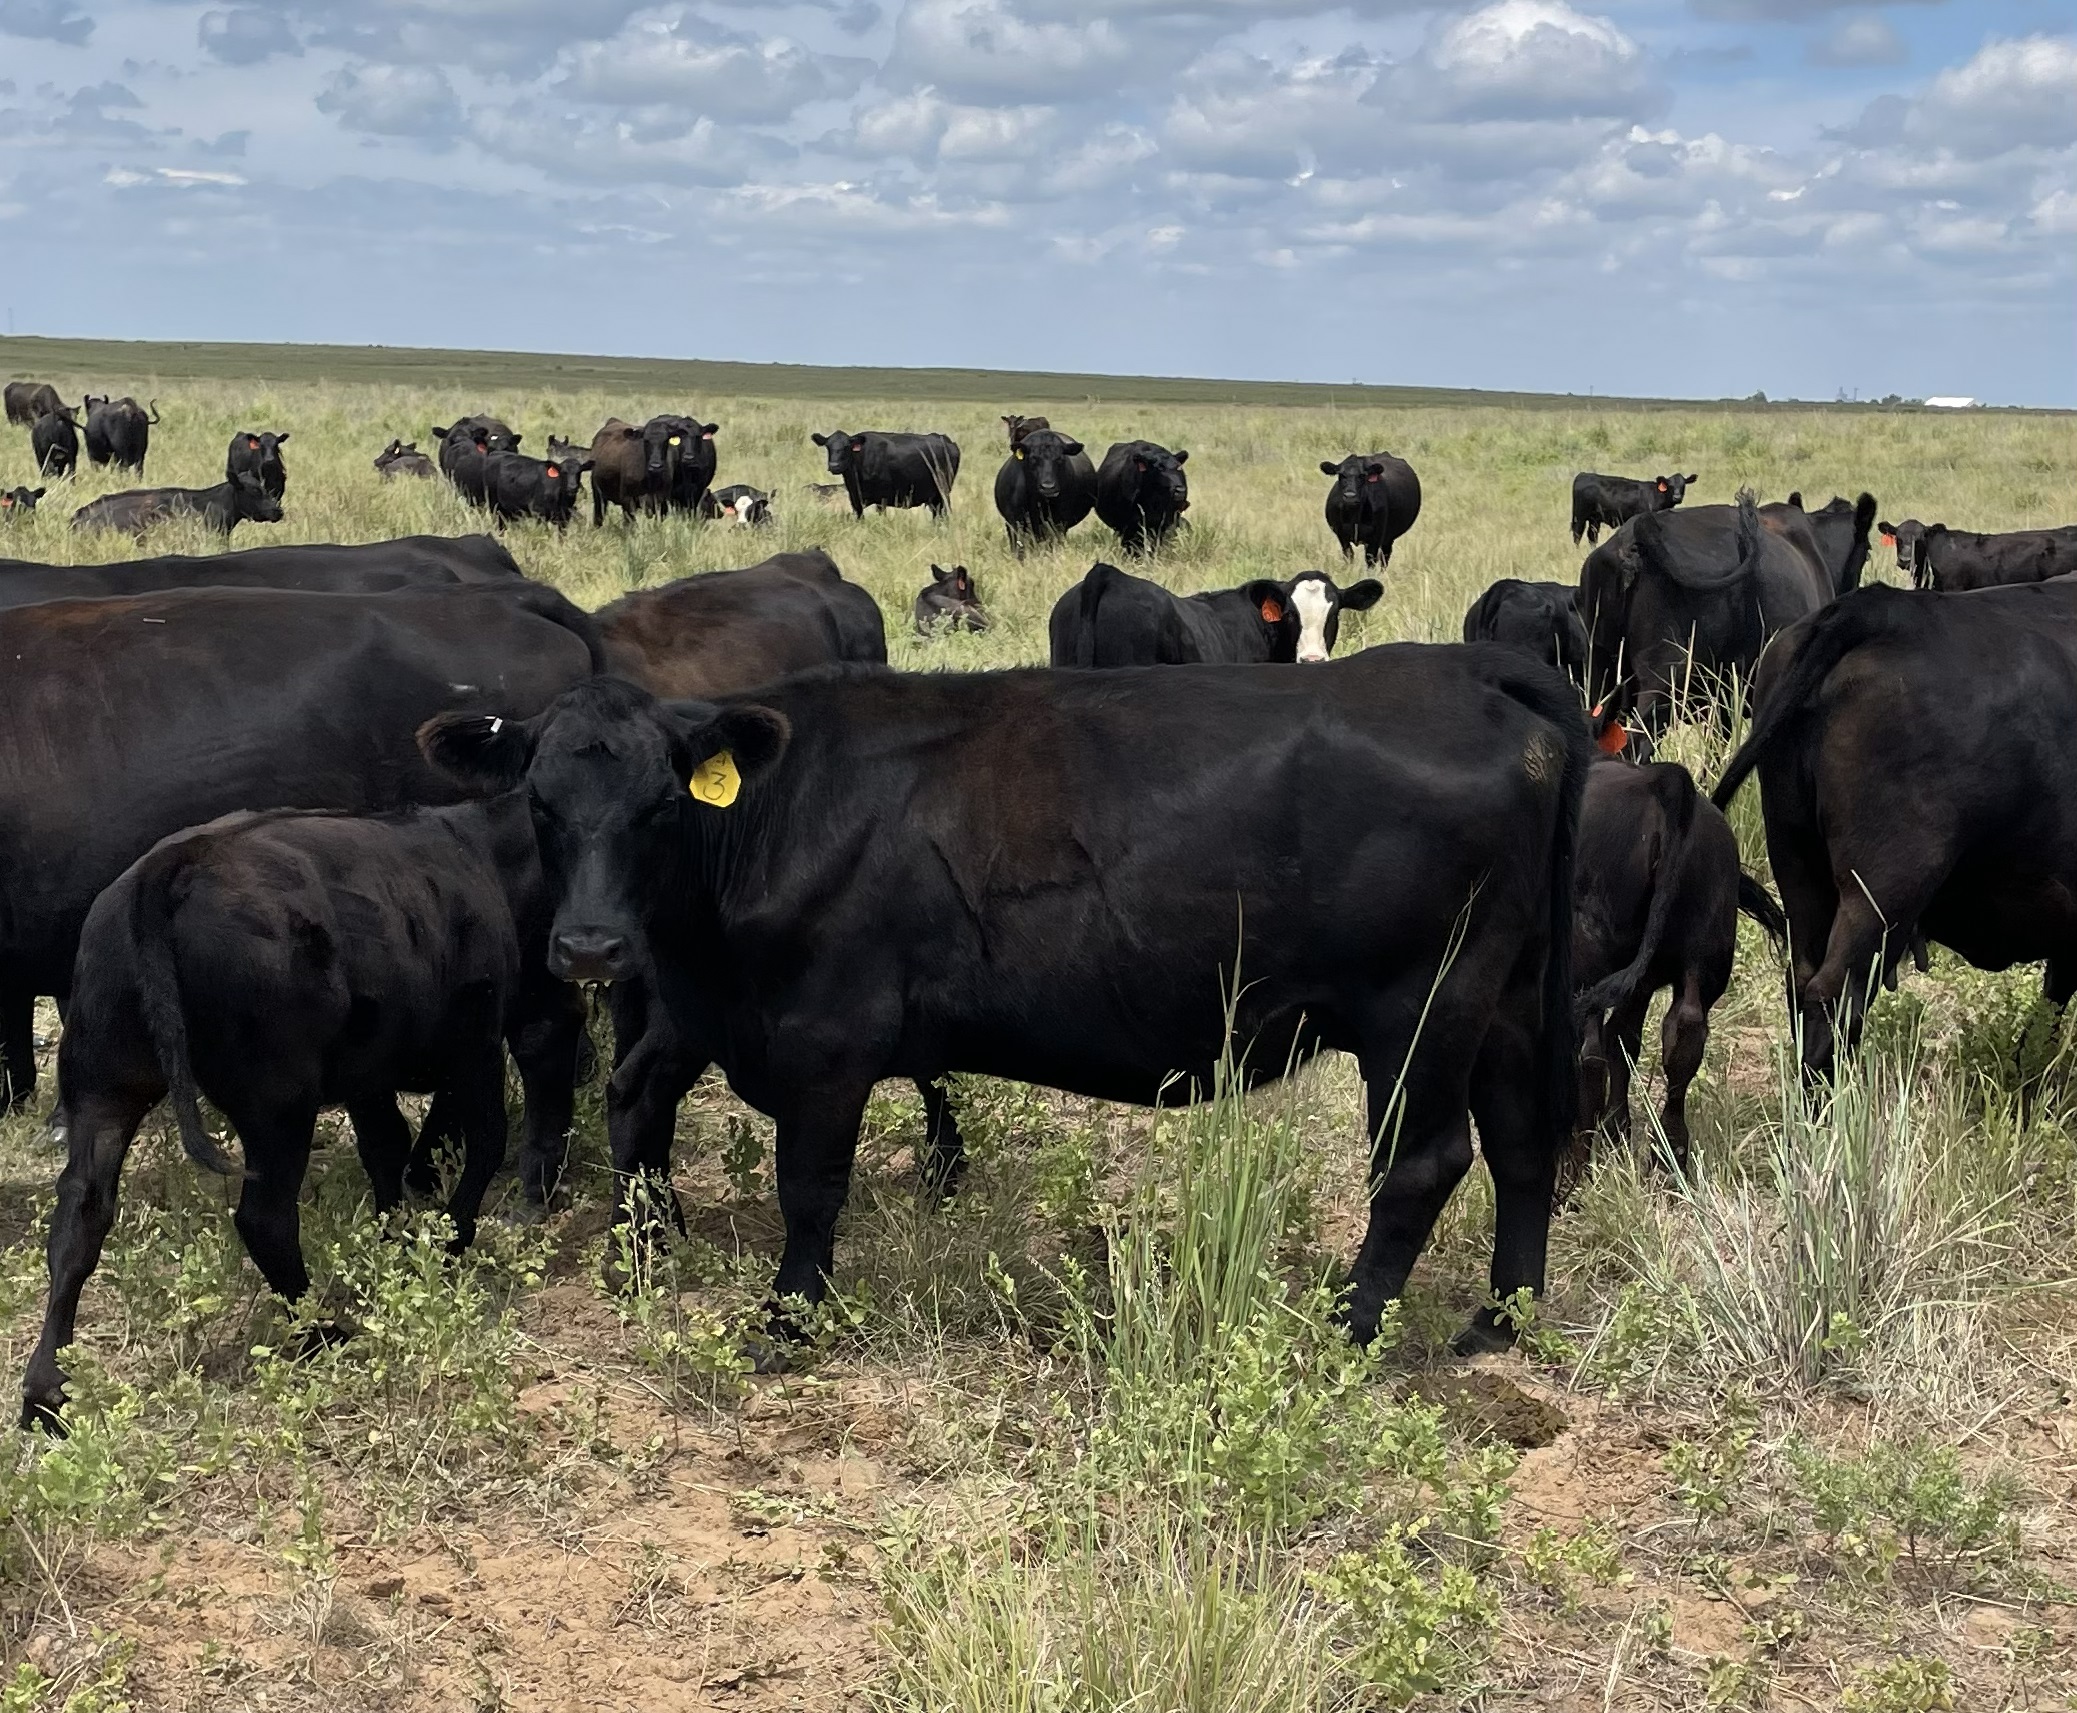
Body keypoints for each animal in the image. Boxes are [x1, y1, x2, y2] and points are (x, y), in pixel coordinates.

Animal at [19, 793, 583, 1432]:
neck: (487, 858)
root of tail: (167, 868)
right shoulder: (476, 1043)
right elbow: (484, 1139)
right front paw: (450, 1241)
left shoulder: (371, 1071)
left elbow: (386, 1147)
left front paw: (395, 1238)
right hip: (277, 1104)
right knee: (263, 1217)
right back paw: (320, 1330)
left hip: (102, 1088)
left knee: (80, 1214)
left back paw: (45, 1392)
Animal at [422, 647, 1590, 1355]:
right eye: (538, 801)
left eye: (664, 805)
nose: (588, 945)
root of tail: (1460, 667)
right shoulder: (710, 1008)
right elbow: (648, 1103)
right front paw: (650, 1253)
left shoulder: (826, 1040)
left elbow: (810, 1185)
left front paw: (789, 1319)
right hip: (1505, 1000)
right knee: (1523, 1141)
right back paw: (1501, 1316)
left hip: (1420, 1012)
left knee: (1423, 1164)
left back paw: (1347, 1328)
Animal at [811, 428, 960, 520]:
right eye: (828, 446)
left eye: (846, 447)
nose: (834, 465)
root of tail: (945, 439)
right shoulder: (855, 499)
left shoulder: (881, 498)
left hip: (942, 492)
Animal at [1571, 759, 1783, 1176]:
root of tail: (1662, 782)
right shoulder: (1640, 983)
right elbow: (1625, 1039)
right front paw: (1617, 1133)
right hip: (1704, 957)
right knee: (1683, 1035)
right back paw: (1668, 1160)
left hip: (1586, 958)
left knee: (1588, 1052)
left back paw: (1575, 1165)